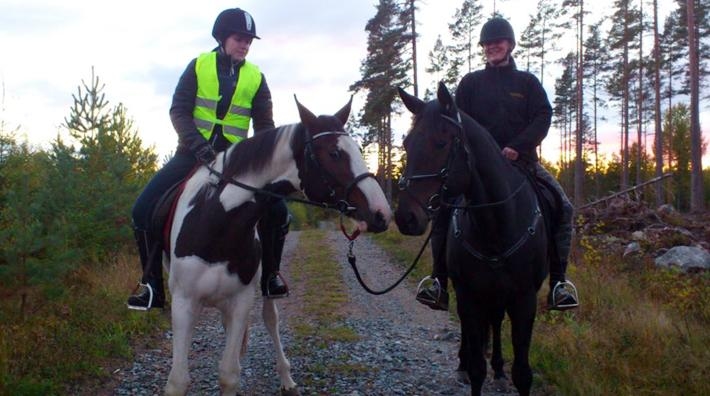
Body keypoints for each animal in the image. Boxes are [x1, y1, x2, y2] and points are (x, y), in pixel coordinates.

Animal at [164, 96, 392, 396]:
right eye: (334, 153)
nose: (382, 213)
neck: (216, 221)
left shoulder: (241, 301)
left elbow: (229, 374)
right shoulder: (183, 303)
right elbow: (178, 381)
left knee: (270, 319)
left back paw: (286, 378)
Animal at [398, 82, 548, 394]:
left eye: (441, 143)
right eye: (406, 144)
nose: (406, 217)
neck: (496, 227)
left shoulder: (524, 299)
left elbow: (522, 373)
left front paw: (505, 372)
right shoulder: (469, 294)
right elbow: (478, 367)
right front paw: (470, 367)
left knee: (496, 321)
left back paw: (499, 370)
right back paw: (463, 365)